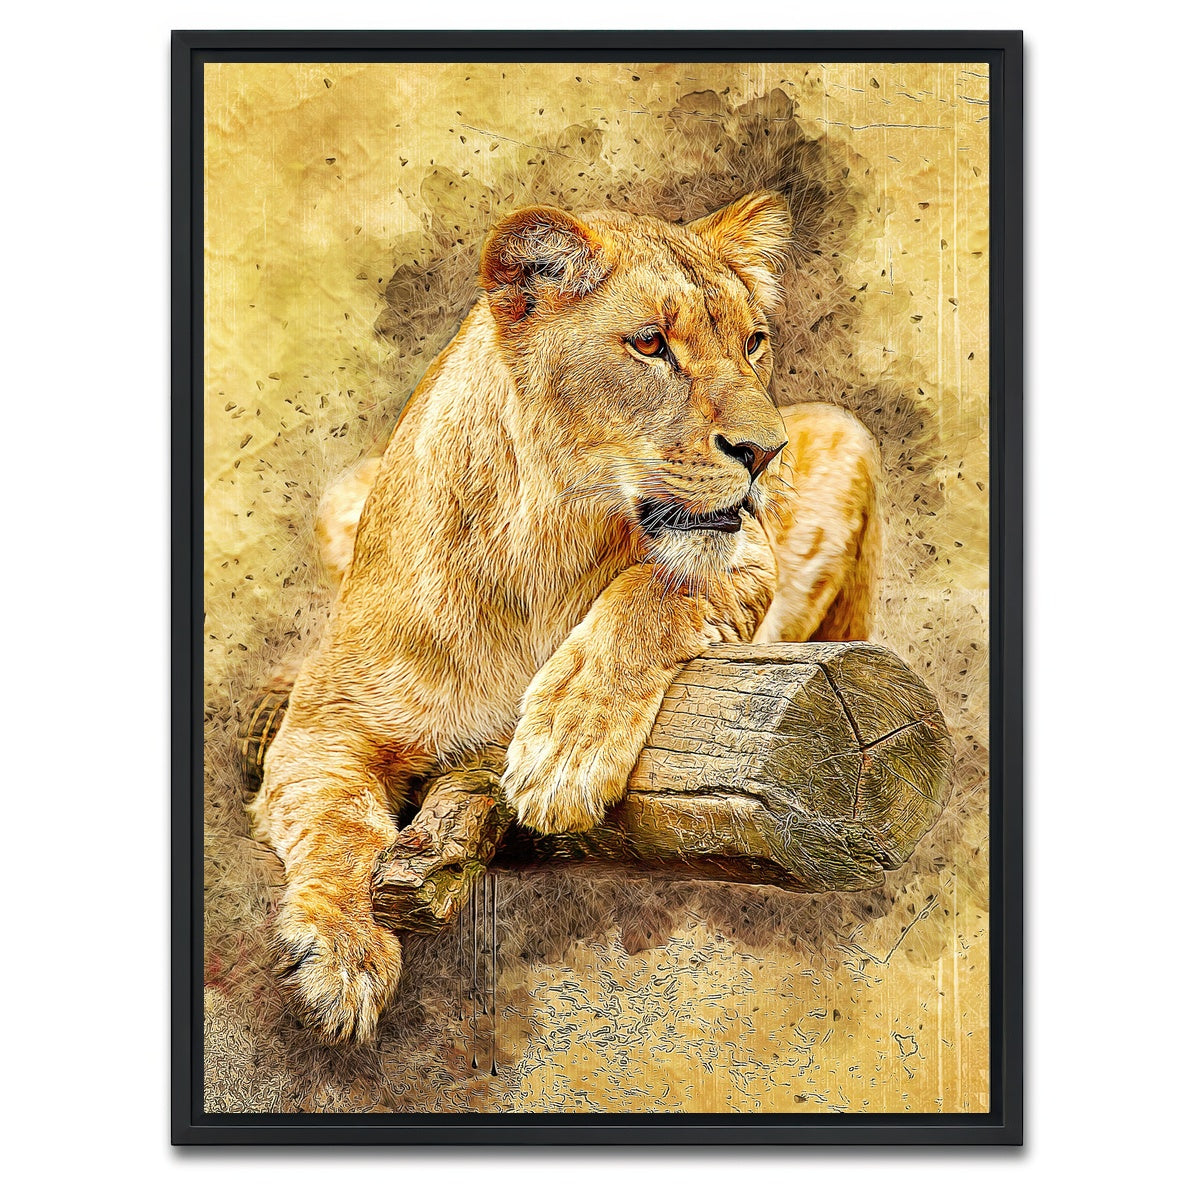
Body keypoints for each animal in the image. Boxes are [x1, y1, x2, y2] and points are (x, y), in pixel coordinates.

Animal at [247, 191, 881, 1043]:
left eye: (755, 341)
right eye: (649, 343)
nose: (765, 452)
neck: (545, 543)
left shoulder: (747, 557)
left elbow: (654, 589)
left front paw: (563, 752)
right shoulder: (325, 726)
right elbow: (334, 823)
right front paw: (342, 955)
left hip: (848, 436)